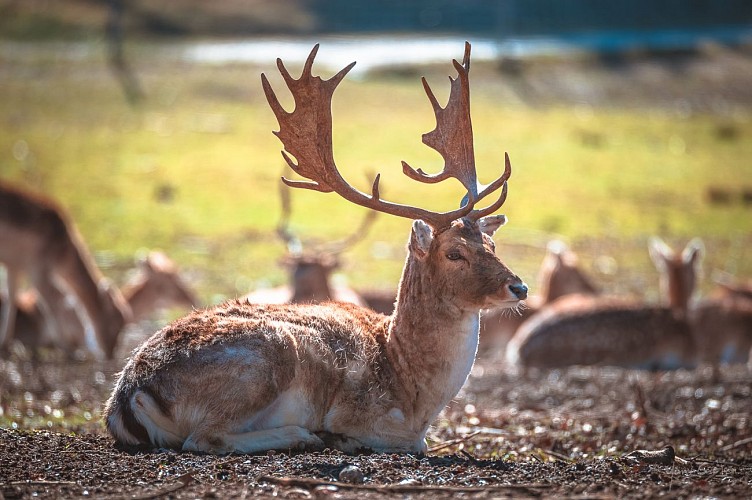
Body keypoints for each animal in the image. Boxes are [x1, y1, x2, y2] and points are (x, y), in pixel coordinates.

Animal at [0, 182, 132, 358]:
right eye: (117, 320)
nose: (110, 353)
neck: (64, 257)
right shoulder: (38, 267)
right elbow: (51, 306)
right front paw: (68, 349)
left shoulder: (15, 266)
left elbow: (12, 299)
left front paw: (5, 346)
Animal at [104, 44, 528, 458]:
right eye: (454, 253)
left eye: (491, 244)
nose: (520, 287)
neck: (414, 393)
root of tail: (127, 396)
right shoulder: (365, 414)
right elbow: (407, 442)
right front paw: (340, 437)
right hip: (264, 359)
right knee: (204, 438)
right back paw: (305, 435)